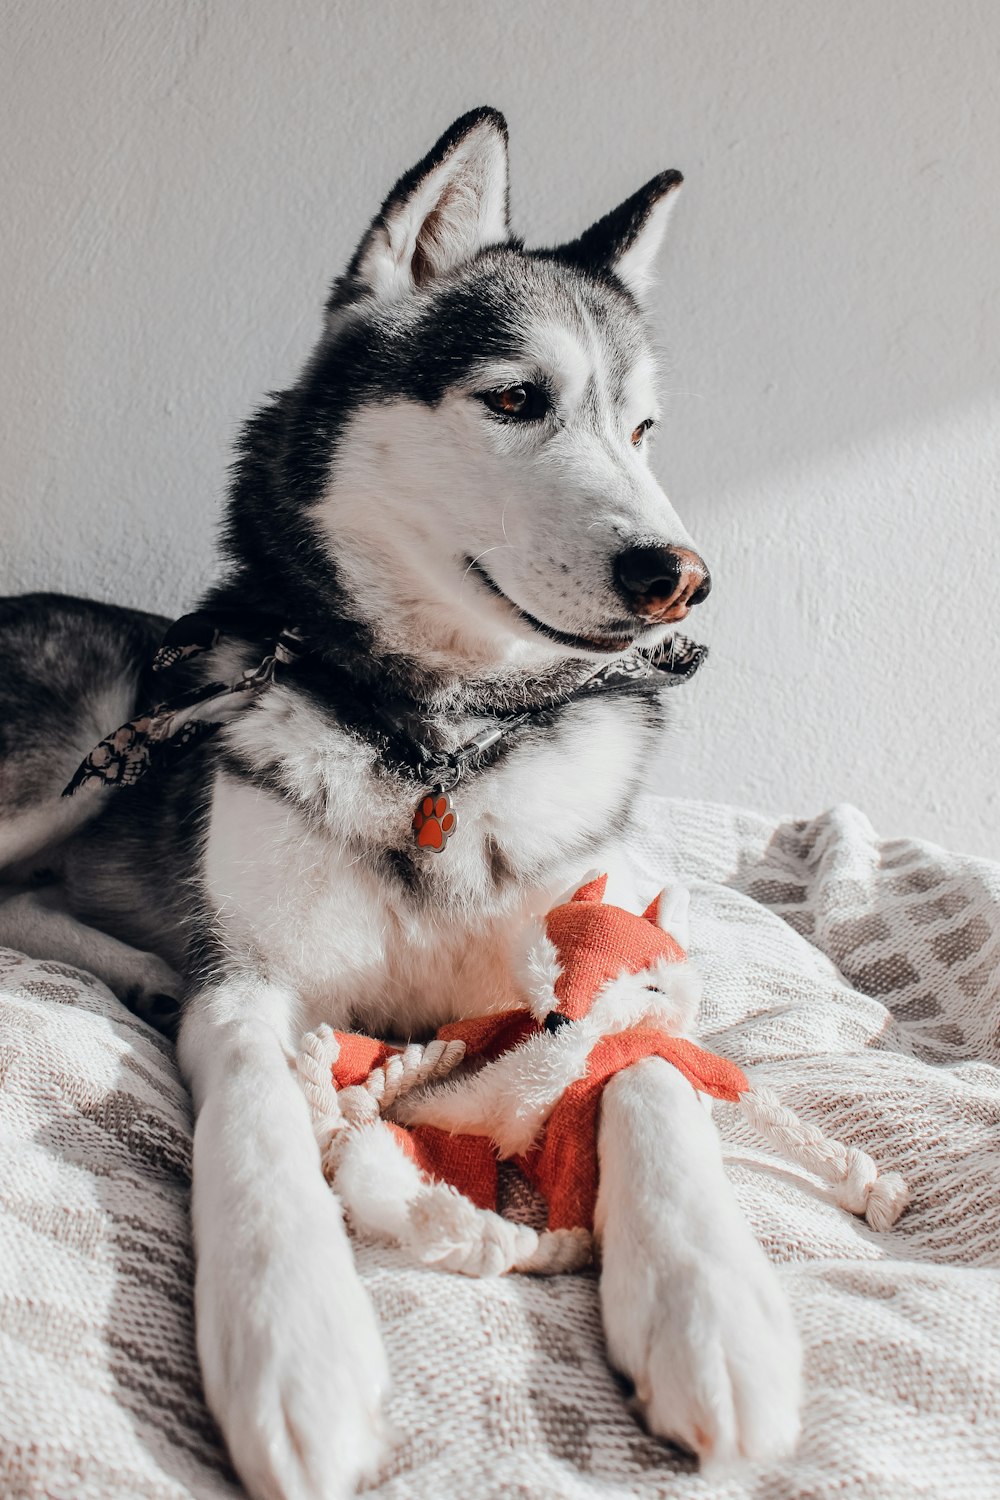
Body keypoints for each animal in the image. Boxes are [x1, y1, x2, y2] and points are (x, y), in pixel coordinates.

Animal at [0, 108, 797, 1500]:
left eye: (643, 429)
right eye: (516, 399)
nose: (680, 578)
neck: (438, 750)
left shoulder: (605, 952)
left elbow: (644, 1072)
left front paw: (713, 1313)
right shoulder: (252, 983)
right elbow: (256, 1127)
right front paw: (295, 1345)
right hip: (79, 738)